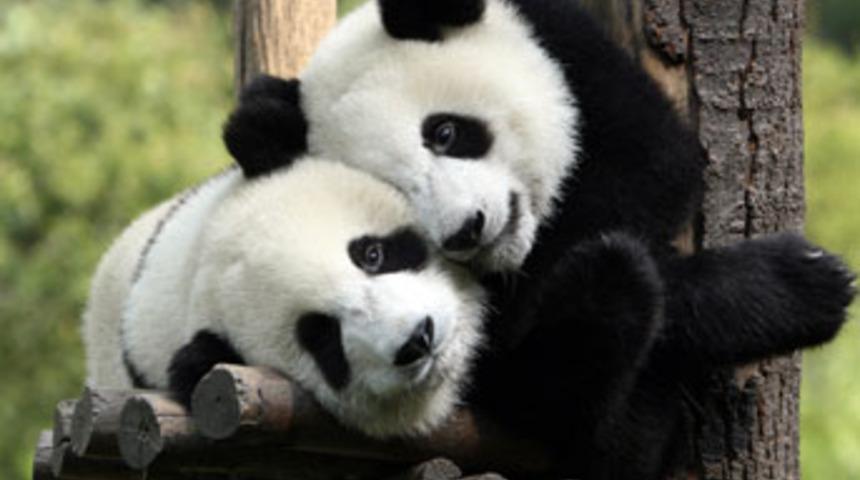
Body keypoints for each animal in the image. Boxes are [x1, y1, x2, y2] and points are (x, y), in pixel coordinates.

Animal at [221, 0, 857, 477]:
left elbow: (654, 164)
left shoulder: (574, 57)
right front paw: (799, 285)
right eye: (397, 191)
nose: (467, 230)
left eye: (445, 132)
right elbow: (513, 356)